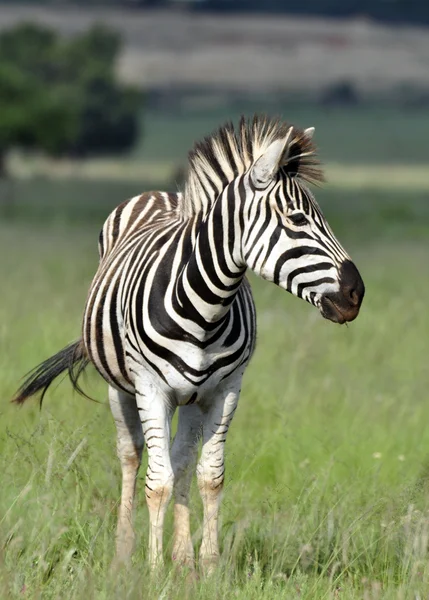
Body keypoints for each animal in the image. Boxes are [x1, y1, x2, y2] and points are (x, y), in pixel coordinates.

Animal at [12, 116, 362, 572]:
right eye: (297, 219)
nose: (357, 293)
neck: (206, 306)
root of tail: (161, 193)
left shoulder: (226, 390)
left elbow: (209, 476)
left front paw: (207, 567)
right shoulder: (151, 388)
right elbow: (156, 482)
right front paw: (153, 569)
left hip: (193, 396)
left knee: (180, 461)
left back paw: (183, 558)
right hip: (121, 387)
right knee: (131, 455)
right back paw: (124, 554)